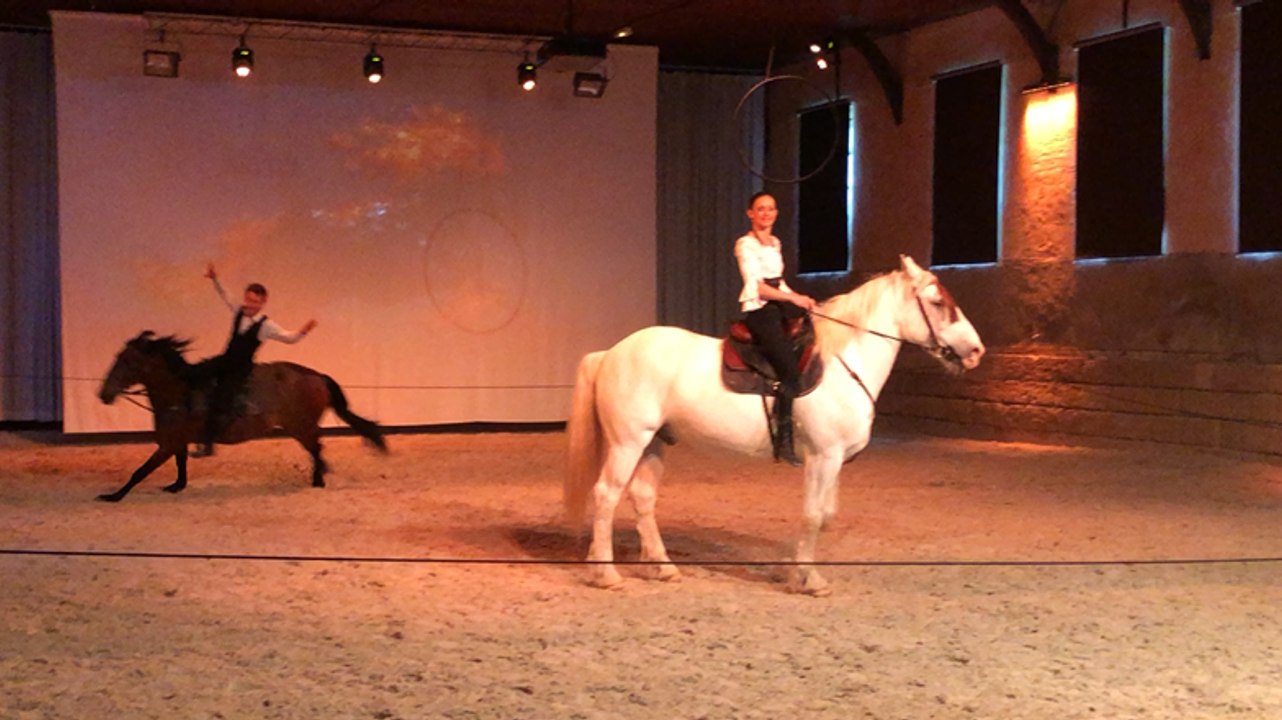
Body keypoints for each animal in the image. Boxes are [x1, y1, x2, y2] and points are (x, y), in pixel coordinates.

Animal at [96, 331, 388, 502]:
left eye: (128, 362)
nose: (104, 395)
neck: (180, 391)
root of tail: (317, 376)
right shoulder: (177, 442)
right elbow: (181, 464)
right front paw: (177, 486)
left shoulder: (167, 444)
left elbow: (139, 471)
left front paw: (114, 496)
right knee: (317, 449)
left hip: (300, 426)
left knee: (316, 448)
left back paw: (318, 480)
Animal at [565, 255, 985, 595]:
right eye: (937, 302)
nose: (976, 351)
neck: (842, 364)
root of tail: (610, 353)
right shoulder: (822, 457)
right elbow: (813, 515)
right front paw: (808, 581)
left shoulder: (834, 461)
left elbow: (825, 515)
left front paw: (795, 571)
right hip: (628, 442)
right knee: (606, 495)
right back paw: (606, 574)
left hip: (654, 442)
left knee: (642, 498)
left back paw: (661, 567)